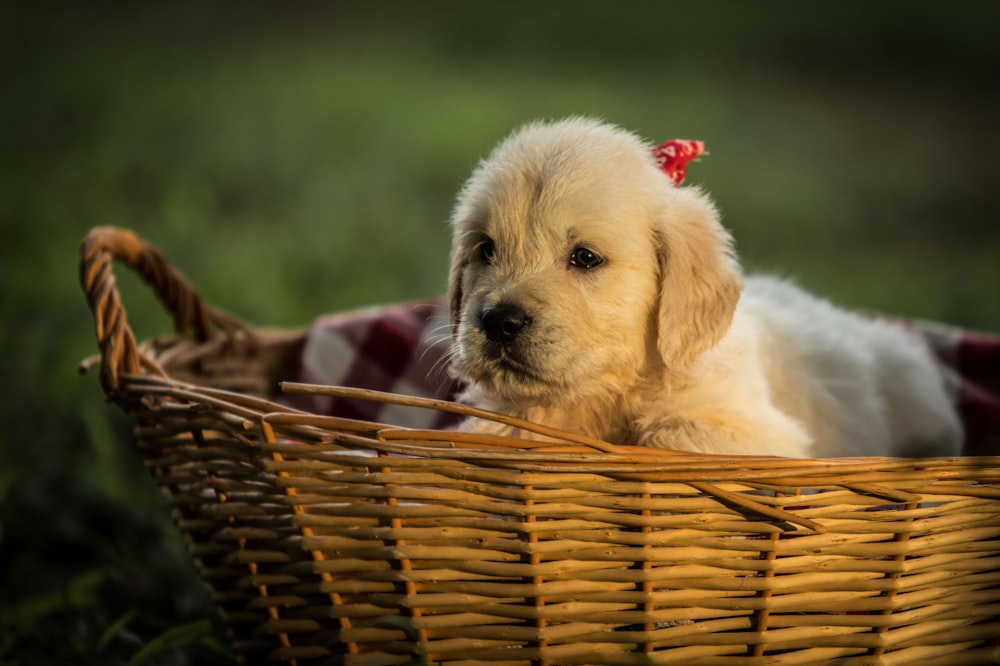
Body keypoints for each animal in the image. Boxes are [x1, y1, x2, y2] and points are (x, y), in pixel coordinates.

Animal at [446, 116, 960, 456]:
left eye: (585, 258)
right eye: (486, 249)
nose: (498, 320)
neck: (609, 394)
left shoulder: (766, 436)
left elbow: (667, 432)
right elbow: (499, 428)